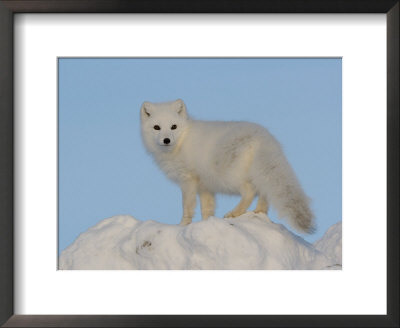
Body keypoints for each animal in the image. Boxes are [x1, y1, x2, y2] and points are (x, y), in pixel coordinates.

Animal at [141, 99, 316, 233]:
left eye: (173, 126)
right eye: (156, 127)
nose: (166, 140)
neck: (182, 141)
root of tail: (264, 137)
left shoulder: (188, 180)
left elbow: (187, 206)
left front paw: (182, 225)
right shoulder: (205, 186)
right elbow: (207, 208)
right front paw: (206, 223)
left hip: (230, 177)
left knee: (250, 192)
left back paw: (235, 213)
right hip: (258, 173)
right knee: (264, 192)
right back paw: (259, 211)